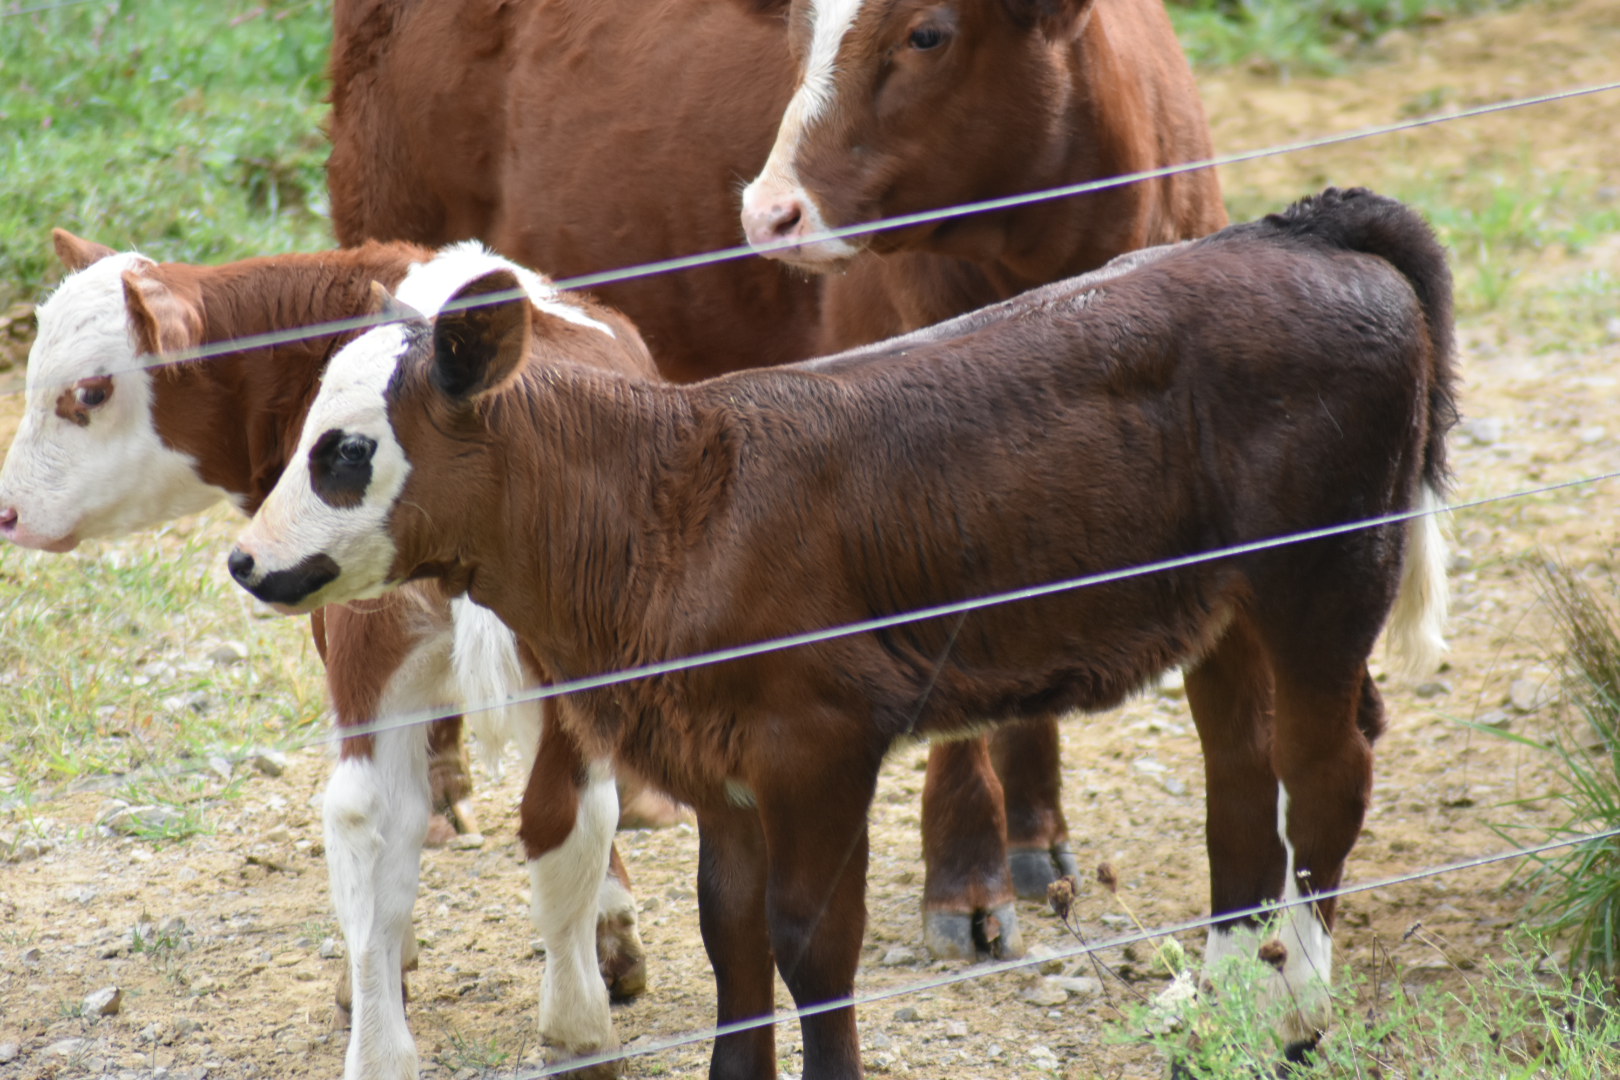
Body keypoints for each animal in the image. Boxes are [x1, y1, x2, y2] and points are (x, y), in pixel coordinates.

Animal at [325, 0, 1218, 958]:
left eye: (928, 33)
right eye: (799, 29)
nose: (768, 212)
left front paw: (1038, 835)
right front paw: (967, 878)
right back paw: (441, 779)